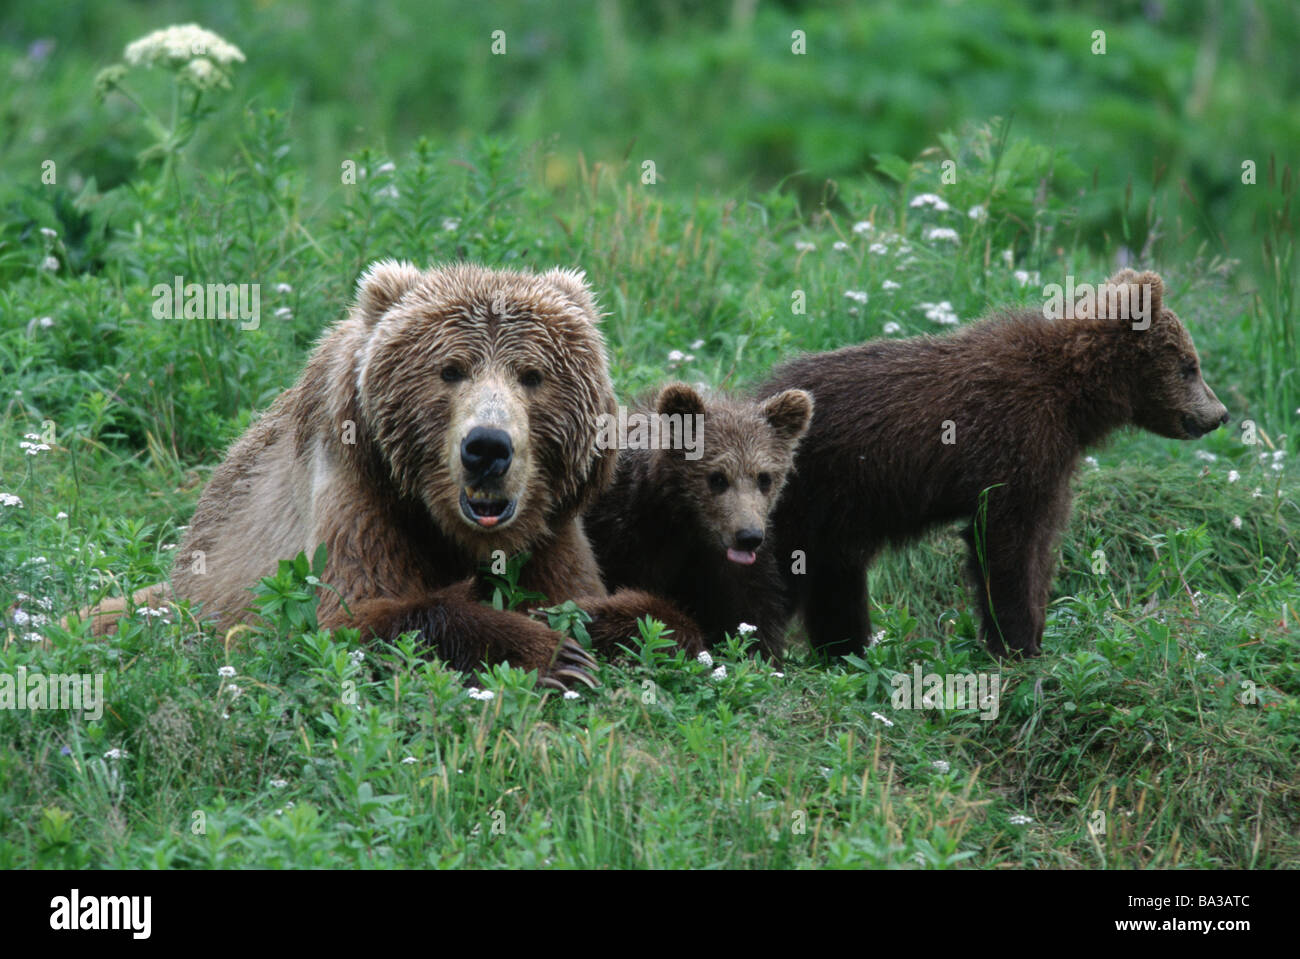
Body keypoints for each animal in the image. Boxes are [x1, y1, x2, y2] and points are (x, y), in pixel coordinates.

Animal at [93, 261, 704, 686]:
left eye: (532, 375)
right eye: (451, 370)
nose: (487, 447)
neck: (458, 534)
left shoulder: (553, 532)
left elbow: (654, 615)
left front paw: (580, 624)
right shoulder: (360, 494)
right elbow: (354, 616)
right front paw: (552, 653)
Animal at [583, 382, 814, 657]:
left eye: (764, 478)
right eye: (717, 478)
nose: (748, 537)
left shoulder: (735, 570)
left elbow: (754, 618)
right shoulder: (625, 535)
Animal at [757, 269, 1230, 659]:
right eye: (1189, 365)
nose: (1220, 414)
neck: (1073, 397)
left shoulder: (1053, 463)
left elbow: (1042, 541)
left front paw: (1035, 637)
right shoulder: (1013, 440)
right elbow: (1005, 541)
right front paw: (1015, 642)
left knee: (835, 581)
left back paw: (844, 650)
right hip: (800, 497)